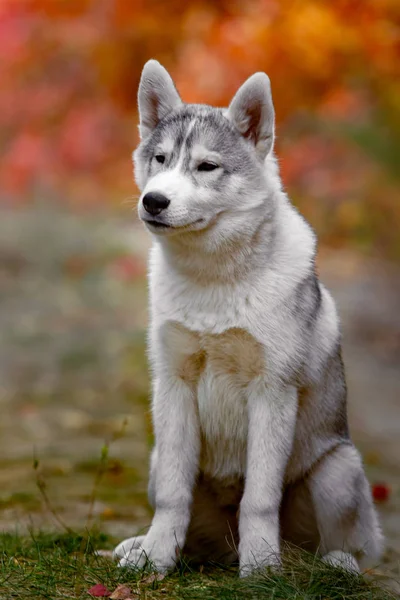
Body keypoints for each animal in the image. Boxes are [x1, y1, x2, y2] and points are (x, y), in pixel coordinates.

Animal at [113, 57, 384, 576]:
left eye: (206, 166)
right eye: (160, 159)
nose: (153, 201)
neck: (214, 282)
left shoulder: (271, 390)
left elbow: (259, 498)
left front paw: (259, 569)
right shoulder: (173, 385)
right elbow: (173, 498)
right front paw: (155, 557)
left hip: (337, 473)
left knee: (350, 549)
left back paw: (331, 564)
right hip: (157, 462)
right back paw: (140, 545)